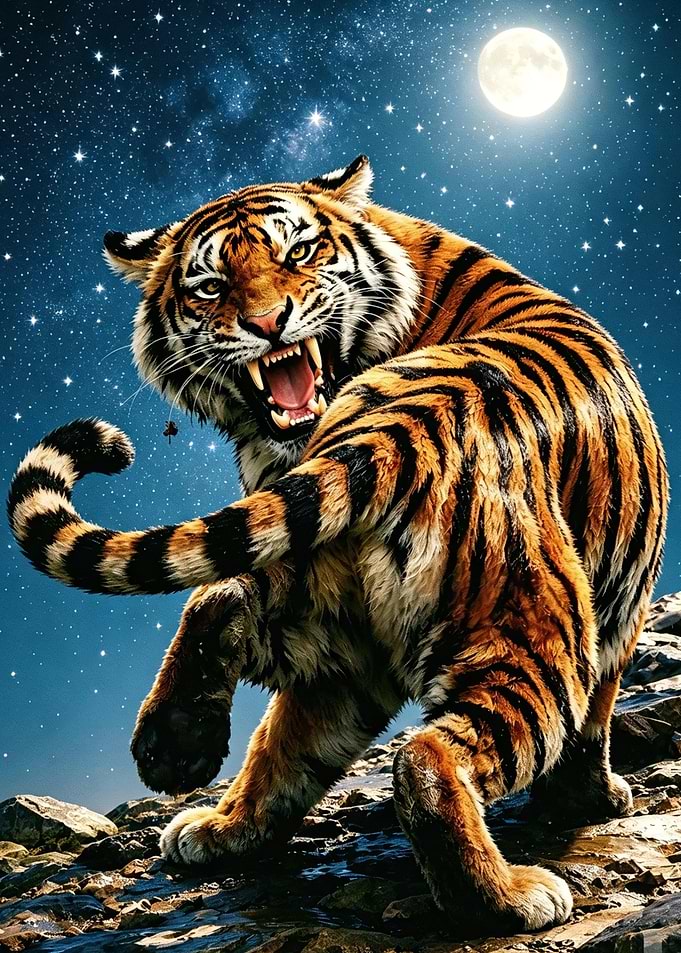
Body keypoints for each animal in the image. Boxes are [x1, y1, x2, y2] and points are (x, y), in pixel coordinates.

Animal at [8, 155, 668, 934]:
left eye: (299, 253)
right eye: (211, 285)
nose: (268, 325)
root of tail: (395, 428)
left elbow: (284, 737)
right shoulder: (615, 621)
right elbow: (595, 720)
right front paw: (593, 798)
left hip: (326, 611)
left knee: (229, 627)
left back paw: (191, 778)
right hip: (531, 624)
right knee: (427, 756)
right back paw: (507, 897)